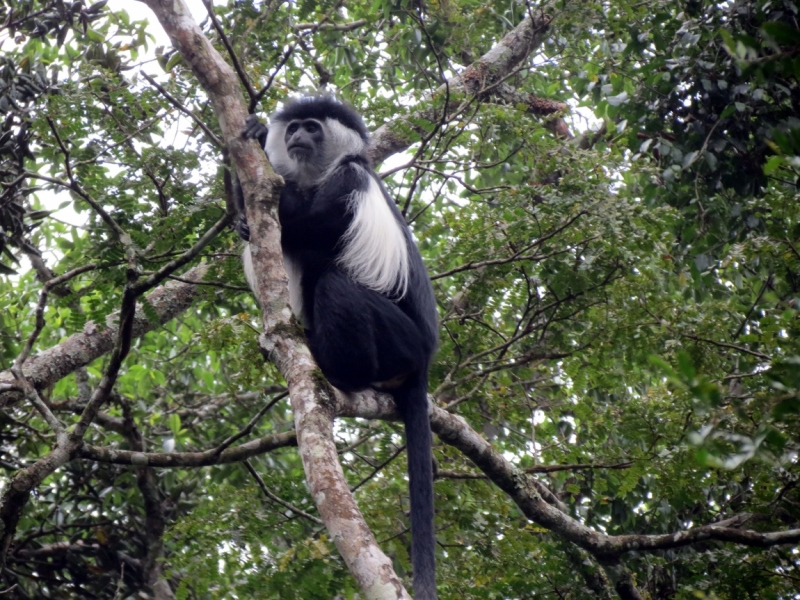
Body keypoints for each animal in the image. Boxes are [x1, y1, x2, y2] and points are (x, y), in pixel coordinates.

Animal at [234, 96, 440, 596]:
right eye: (294, 127)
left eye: (311, 127)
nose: (293, 136)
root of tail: (426, 355)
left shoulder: (348, 181)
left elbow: (299, 223)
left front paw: (253, 137)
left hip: (399, 340)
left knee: (335, 286)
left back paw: (337, 371)